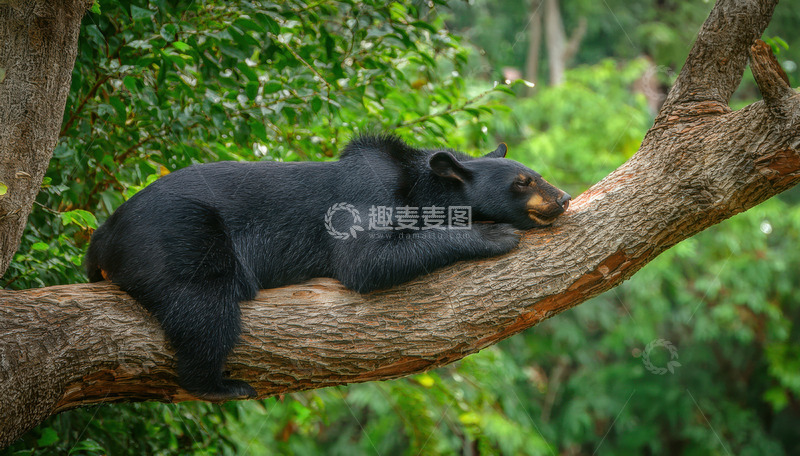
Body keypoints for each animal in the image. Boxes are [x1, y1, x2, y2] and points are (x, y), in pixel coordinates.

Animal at [85, 134, 570, 401]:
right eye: (523, 182)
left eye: (535, 173)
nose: (563, 197)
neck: (422, 184)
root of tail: (102, 237)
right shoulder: (365, 194)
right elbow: (368, 261)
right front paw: (493, 235)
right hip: (179, 236)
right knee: (204, 306)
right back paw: (220, 384)